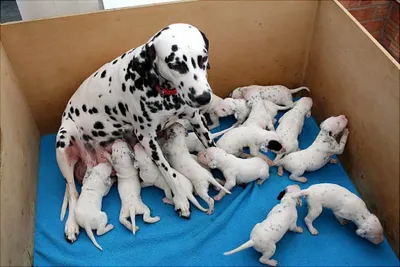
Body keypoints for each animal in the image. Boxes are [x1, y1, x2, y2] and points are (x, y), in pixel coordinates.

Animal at [55, 23, 216, 242]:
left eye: (203, 58)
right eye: (176, 64)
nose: (204, 97)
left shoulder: (196, 119)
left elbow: (214, 147)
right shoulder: (147, 139)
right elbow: (169, 172)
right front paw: (181, 200)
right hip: (63, 142)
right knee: (73, 193)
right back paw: (71, 225)